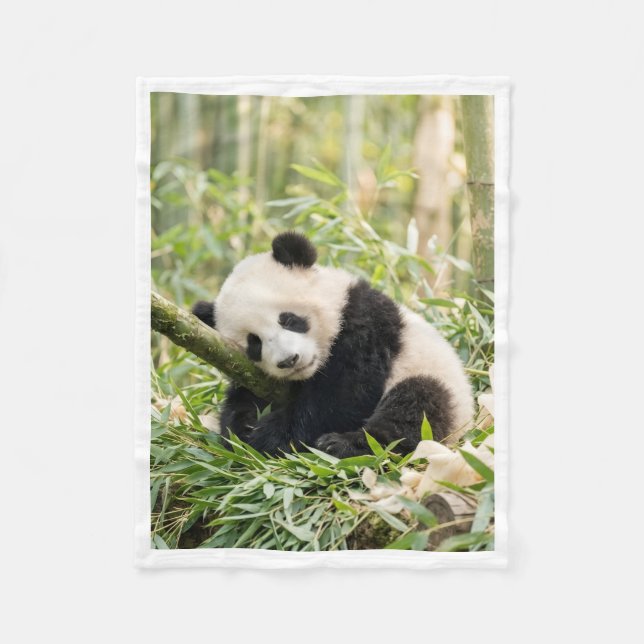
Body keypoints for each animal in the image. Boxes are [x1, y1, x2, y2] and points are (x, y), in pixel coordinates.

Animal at [192, 231, 474, 458]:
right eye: (254, 343)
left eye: (289, 319)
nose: (289, 360)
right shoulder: (253, 375)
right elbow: (244, 399)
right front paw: (244, 427)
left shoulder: (365, 325)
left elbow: (343, 396)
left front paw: (269, 434)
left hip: (439, 386)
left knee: (417, 407)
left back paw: (345, 444)